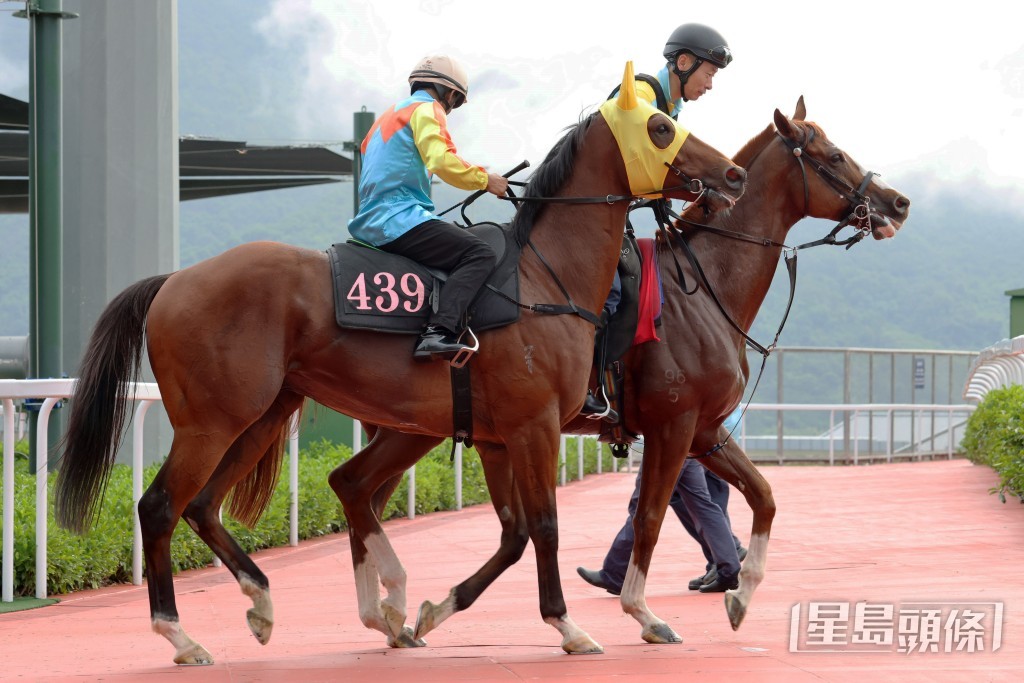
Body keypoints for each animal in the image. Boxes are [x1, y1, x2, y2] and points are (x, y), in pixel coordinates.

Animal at [52, 63, 746, 665]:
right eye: (659, 127)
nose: (734, 175)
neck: (544, 277)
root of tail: (172, 281)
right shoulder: (536, 424)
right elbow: (547, 524)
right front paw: (569, 627)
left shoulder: (500, 433)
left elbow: (521, 529)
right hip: (212, 421)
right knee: (160, 507)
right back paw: (182, 635)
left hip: (263, 415)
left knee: (207, 505)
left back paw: (265, 603)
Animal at [361, 97, 911, 647]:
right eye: (835, 156)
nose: (898, 202)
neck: (705, 290)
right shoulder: (674, 425)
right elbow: (649, 517)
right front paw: (641, 612)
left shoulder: (705, 430)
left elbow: (763, 495)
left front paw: (740, 593)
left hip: (420, 426)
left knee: (363, 493)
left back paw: (399, 609)